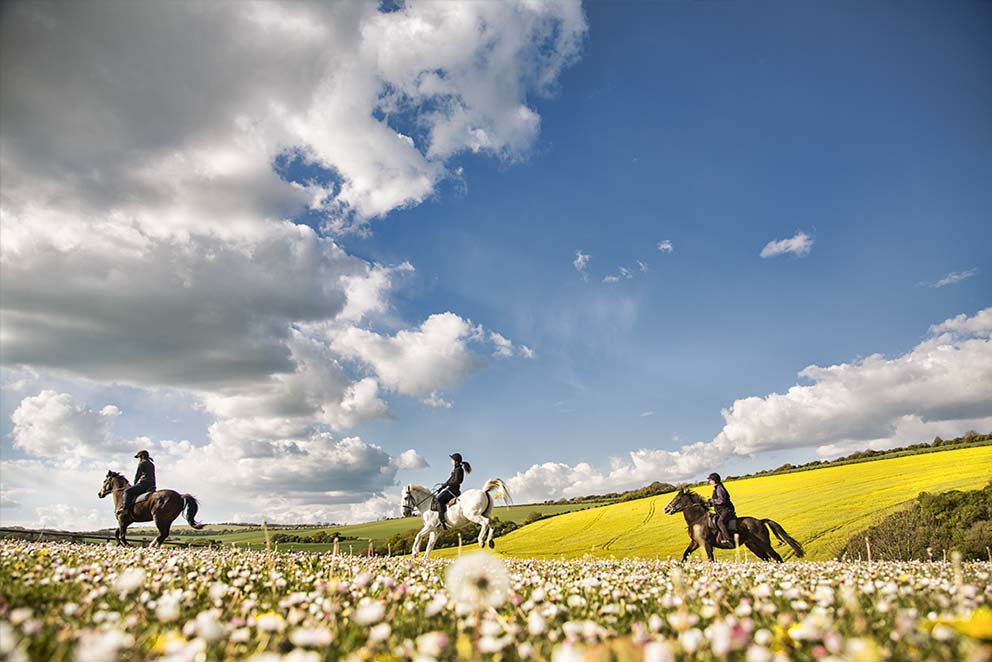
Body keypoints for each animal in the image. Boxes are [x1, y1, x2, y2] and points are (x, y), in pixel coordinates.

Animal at [664, 488, 804, 564]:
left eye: (676, 499)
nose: (666, 509)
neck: (698, 519)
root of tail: (760, 521)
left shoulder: (707, 544)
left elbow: (711, 559)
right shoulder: (695, 543)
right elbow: (685, 555)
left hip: (764, 543)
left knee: (776, 557)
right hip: (753, 545)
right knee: (767, 559)